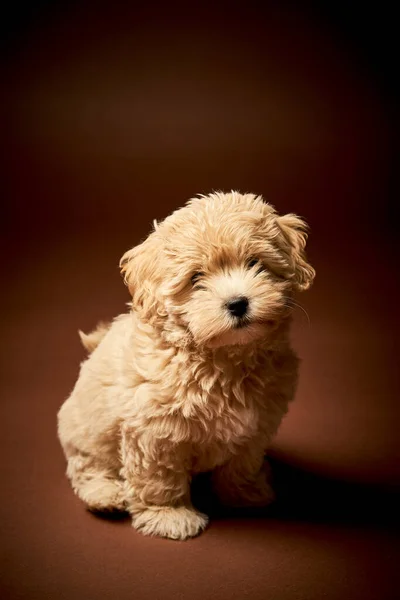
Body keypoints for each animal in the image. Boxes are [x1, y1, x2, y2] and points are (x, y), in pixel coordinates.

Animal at [57, 191, 316, 540]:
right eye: (196, 279)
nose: (238, 303)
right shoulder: (154, 431)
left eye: (254, 263)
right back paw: (106, 494)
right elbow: (159, 477)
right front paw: (169, 515)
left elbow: (243, 461)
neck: (221, 357)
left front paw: (244, 493)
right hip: (85, 430)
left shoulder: (257, 422)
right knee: (88, 466)